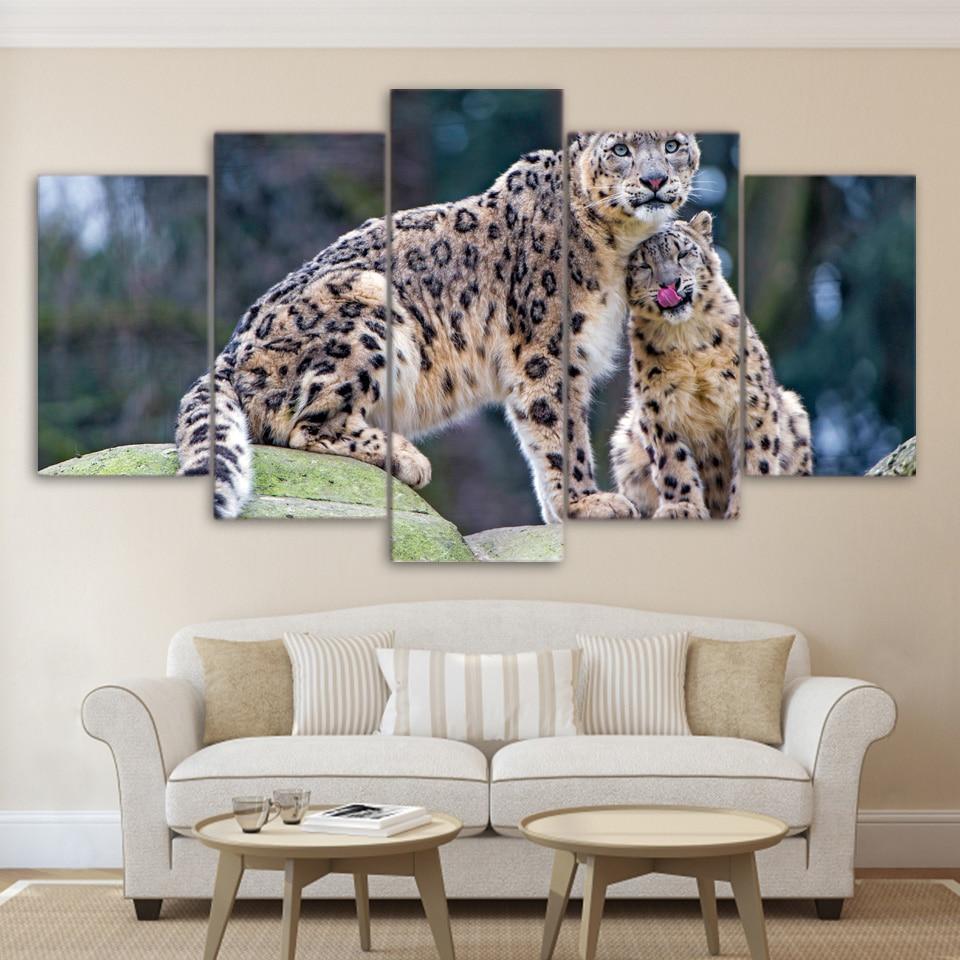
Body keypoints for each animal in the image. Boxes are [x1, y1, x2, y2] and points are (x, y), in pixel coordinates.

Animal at [174, 131, 701, 520]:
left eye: (672, 144)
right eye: (621, 149)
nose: (655, 179)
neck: (619, 246)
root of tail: (227, 352)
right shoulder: (546, 350)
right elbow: (559, 431)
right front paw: (586, 502)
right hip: (368, 306)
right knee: (303, 424)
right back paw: (407, 458)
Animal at [609, 211, 812, 520]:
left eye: (683, 254)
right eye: (643, 265)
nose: (669, 284)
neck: (686, 339)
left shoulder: (751, 400)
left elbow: (756, 454)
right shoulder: (659, 409)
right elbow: (673, 463)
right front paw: (683, 507)